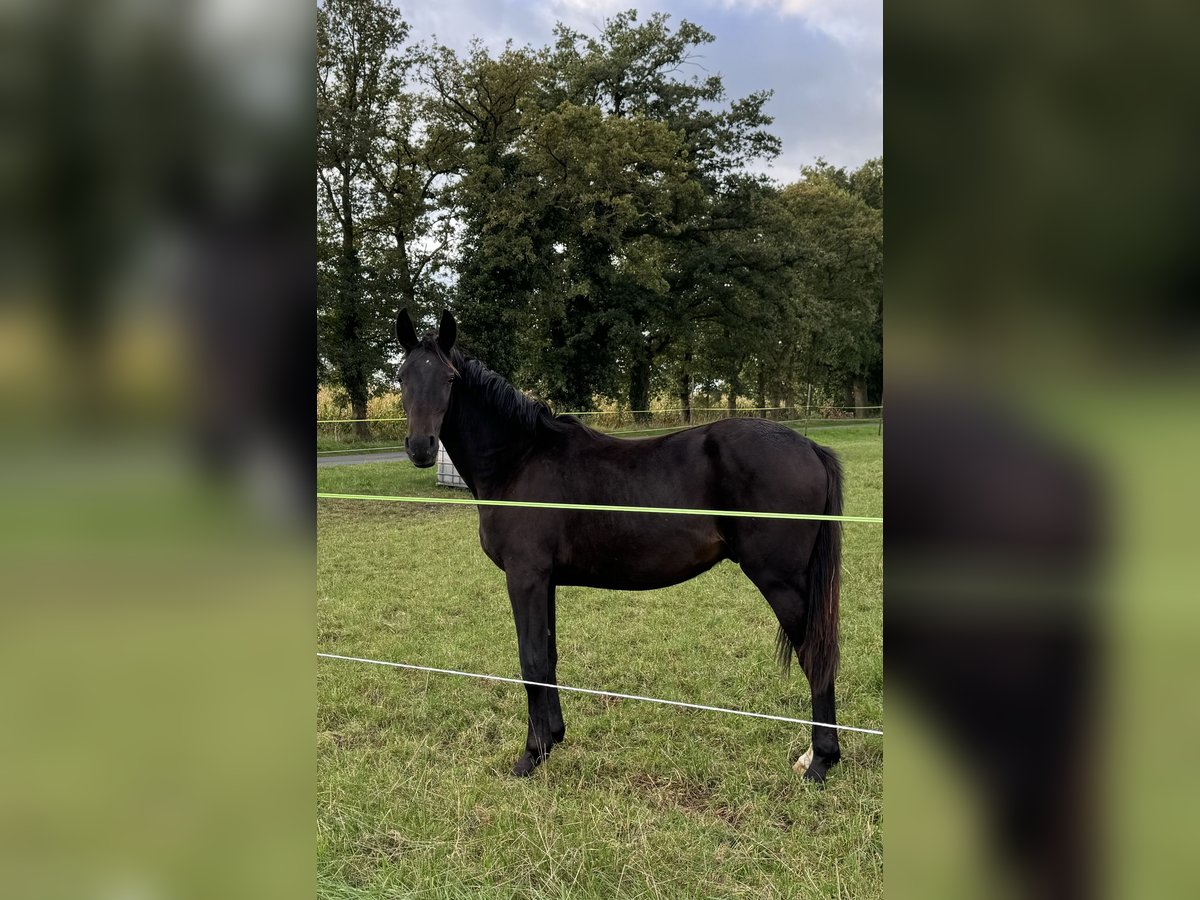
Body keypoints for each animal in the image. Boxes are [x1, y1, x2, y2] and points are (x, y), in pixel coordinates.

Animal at [393, 312, 844, 782]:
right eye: (402, 376)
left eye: (449, 378)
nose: (421, 447)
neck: (519, 459)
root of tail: (810, 447)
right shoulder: (546, 580)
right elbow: (549, 657)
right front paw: (553, 738)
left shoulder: (525, 577)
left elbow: (531, 661)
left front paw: (531, 755)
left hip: (780, 581)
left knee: (814, 655)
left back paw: (820, 761)